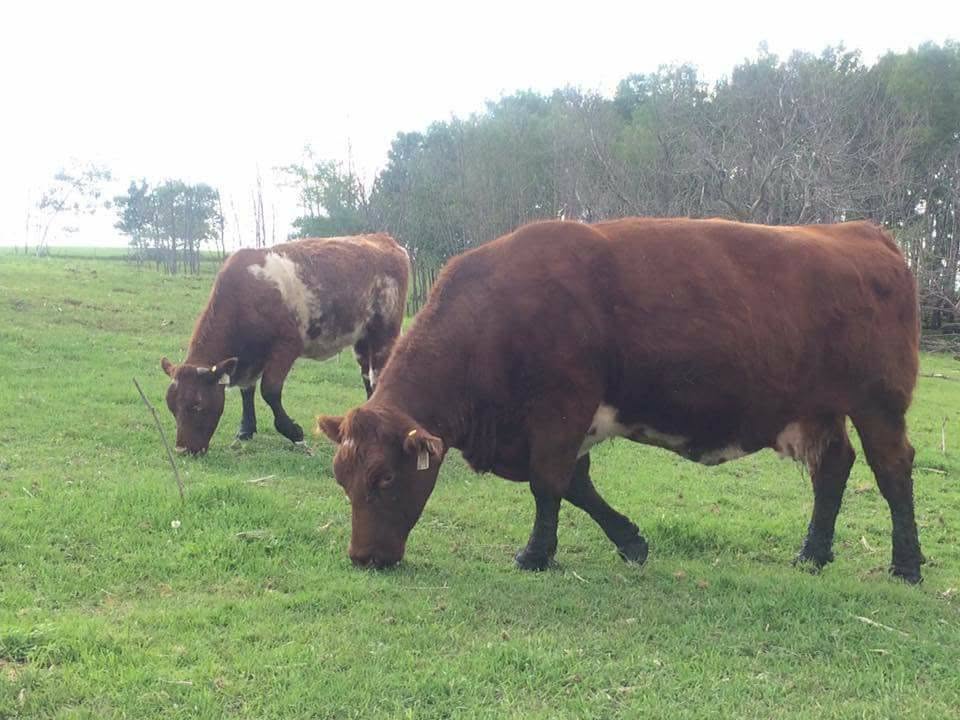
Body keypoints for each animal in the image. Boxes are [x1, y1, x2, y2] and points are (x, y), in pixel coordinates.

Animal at [161, 233, 409, 455]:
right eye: (171, 406)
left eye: (197, 405)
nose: (183, 450)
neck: (246, 294)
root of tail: (382, 238)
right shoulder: (250, 357)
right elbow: (247, 390)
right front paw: (246, 429)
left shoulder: (286, 346)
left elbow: (269, 390)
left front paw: (293, 431)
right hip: (363, 339)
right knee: (367, 376)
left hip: (384, 333)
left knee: (378, 374)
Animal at [315, 218, 924, 584]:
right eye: (341, 478)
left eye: (385, 479)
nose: (363, 559)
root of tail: (860, 232)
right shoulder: (561, 427)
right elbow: (577, 486)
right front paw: (630, 541)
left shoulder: (560, 410)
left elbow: (549, 485)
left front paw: (535, 555)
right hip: (818, 409)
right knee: (833, 468)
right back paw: (813, 554)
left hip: (879, 403)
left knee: (892, 470)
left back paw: (907, 563)